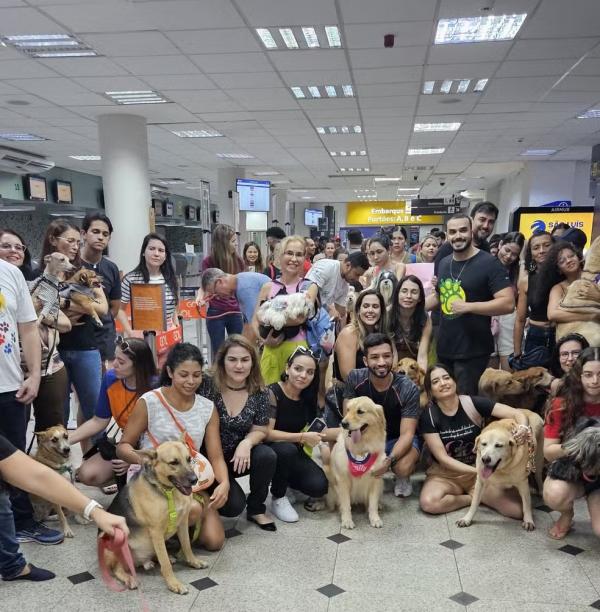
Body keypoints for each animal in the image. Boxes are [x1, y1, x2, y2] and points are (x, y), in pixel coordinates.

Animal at [105, 442, 211, 596]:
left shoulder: (182, 523)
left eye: (189, 459)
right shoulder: (156, 532)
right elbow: (165, 564)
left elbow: (186, 546)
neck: (167, 491)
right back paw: (129, 578)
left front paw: (193, 561)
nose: (194, 480)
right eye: (173, 462)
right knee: (117, 569)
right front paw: (174, 584)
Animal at [326, 394, 386, 528]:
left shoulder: (375, 479)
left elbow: (373, 504)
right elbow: (346, 504)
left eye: (360, 412)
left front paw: (375, 519)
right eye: (347, 410)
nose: (343, 423)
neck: (360, 450)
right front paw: (347, 520)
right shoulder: (343, 480)